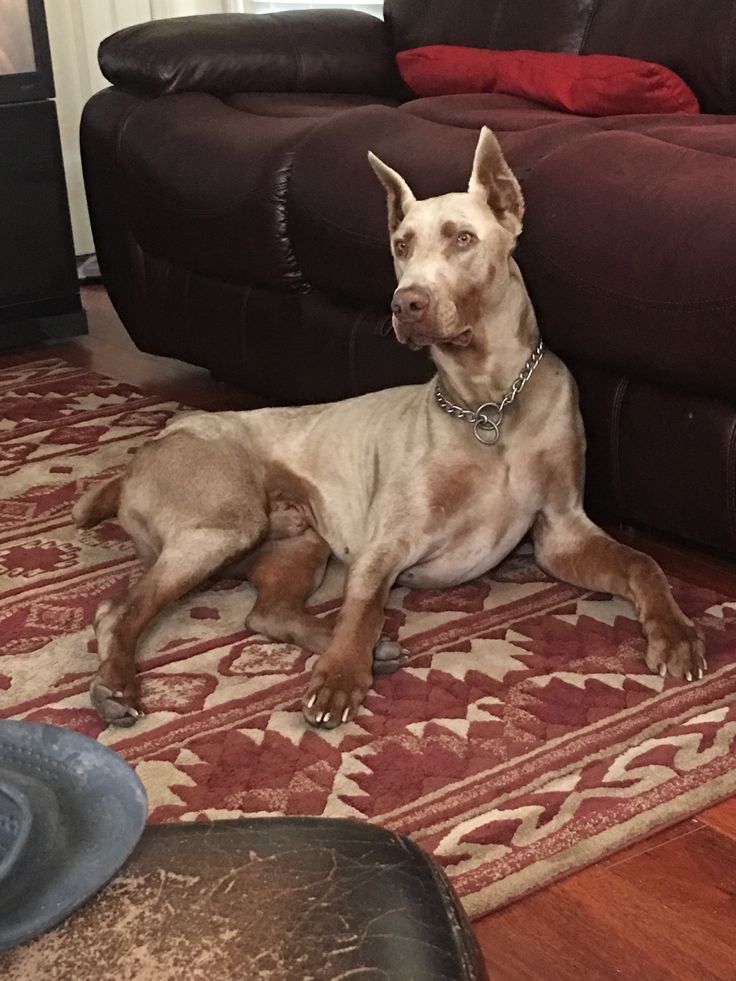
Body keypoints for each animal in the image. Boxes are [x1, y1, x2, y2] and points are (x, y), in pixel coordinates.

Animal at [73, 126, 708, 728]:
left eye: (462, 238)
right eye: (401, 246)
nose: (406, 303)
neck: (489, 407)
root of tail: (150, 447)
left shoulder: (561, 530)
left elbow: (644, 564)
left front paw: (676, 635)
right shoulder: (385, 543)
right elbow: (363, 608)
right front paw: (340, 678)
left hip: (296, 540)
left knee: (265, 613)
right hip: (225, 523)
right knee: (118, 610)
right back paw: (118, 687)